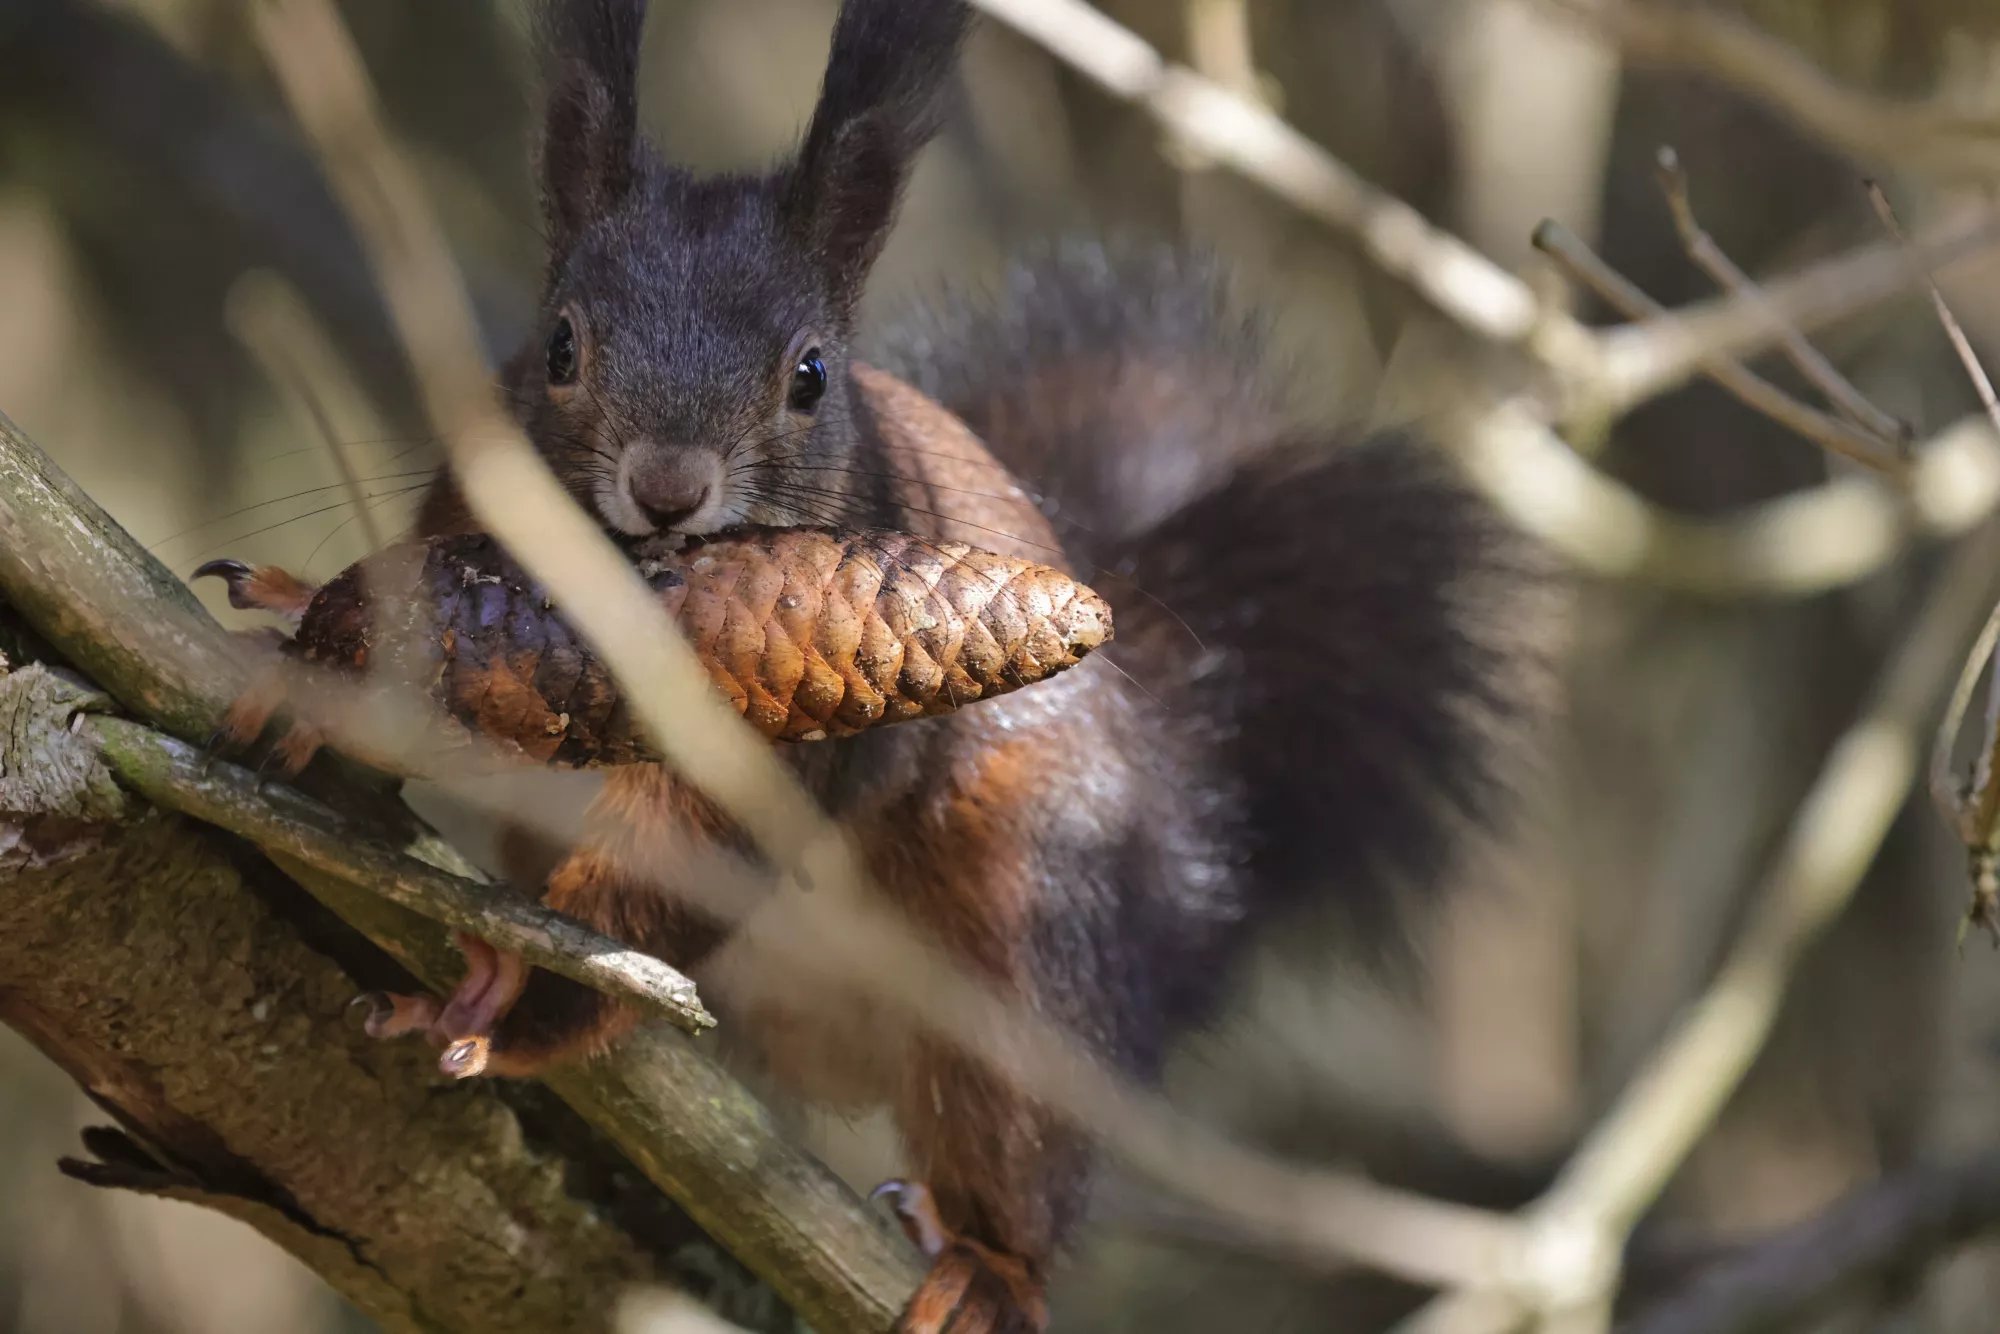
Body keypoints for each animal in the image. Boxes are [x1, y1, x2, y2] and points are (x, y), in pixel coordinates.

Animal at [206, 1, 1560, 1330]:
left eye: (809, 373)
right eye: (557, 346)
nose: (666, 487)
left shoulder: (787, 755)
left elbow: (682, 861)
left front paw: (518, 994)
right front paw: (310, 649)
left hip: (1032, 931)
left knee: (1014, 1138)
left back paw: (984, 1270)